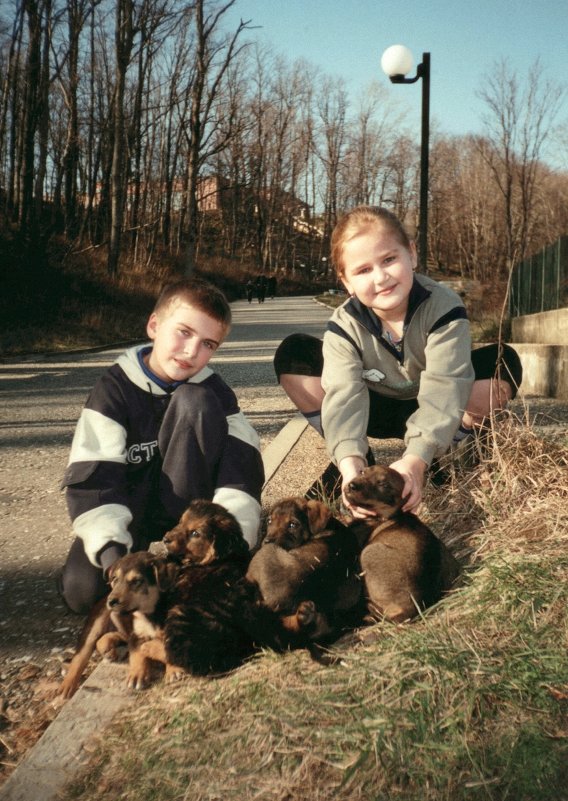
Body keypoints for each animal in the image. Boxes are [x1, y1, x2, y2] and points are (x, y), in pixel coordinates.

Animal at [58, 552, 176, 696]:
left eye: (137, 581)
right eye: (114, 578)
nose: (111, 601)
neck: (151, 612)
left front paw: (173, 670)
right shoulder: (135, 634)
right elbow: (136, 653)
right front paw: (136, 675)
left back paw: (108, 646)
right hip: (96, 623)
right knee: (80, 655)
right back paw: (67, 686)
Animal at [344, 462, 460, 624]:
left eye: (383, 484)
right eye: (362, 472)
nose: (352, 485)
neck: (392, 514)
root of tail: (418, 603)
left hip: (369, 553)